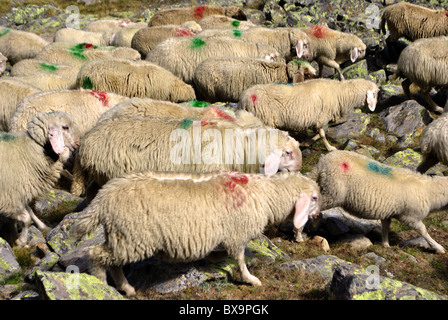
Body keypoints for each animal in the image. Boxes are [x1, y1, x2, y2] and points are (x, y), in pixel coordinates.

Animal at [0, 111, 79, 246]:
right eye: (65, 127)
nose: (78, 144)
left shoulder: (20, 193)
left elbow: (29, 212)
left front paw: (43, 226)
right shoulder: (9, 198)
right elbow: (26, 219)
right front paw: (21, 241)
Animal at [72, 170, 320, 296]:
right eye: (314, 198)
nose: (317, 216)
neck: (267, 194)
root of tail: (103, 198)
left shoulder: (230, 234)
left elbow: (225, 254)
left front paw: (214, 258)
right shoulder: (238, 234)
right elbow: (240, 259)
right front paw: (251, 279)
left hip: (121, 237)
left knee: (112, 262)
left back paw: (126, 288)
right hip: (132, 237)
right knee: (95, 256)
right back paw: (103, 285)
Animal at [238, 78, 378, 151]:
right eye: (375, 94)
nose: (374, 108)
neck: (340, 93)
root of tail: (244, 99)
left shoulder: (317, 119)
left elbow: (319, 133)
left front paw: (305, 142)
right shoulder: (322, 117)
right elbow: (322, 134)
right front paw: (330, 148)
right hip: (263, 119)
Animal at [312, 151, 448, 255]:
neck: (429, 191)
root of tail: (323, 162)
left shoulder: (388, 212)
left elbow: (386, 226)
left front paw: (385, 245)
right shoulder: (410, 216)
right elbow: (423, 230)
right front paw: (438, 248)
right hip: (332, 192)